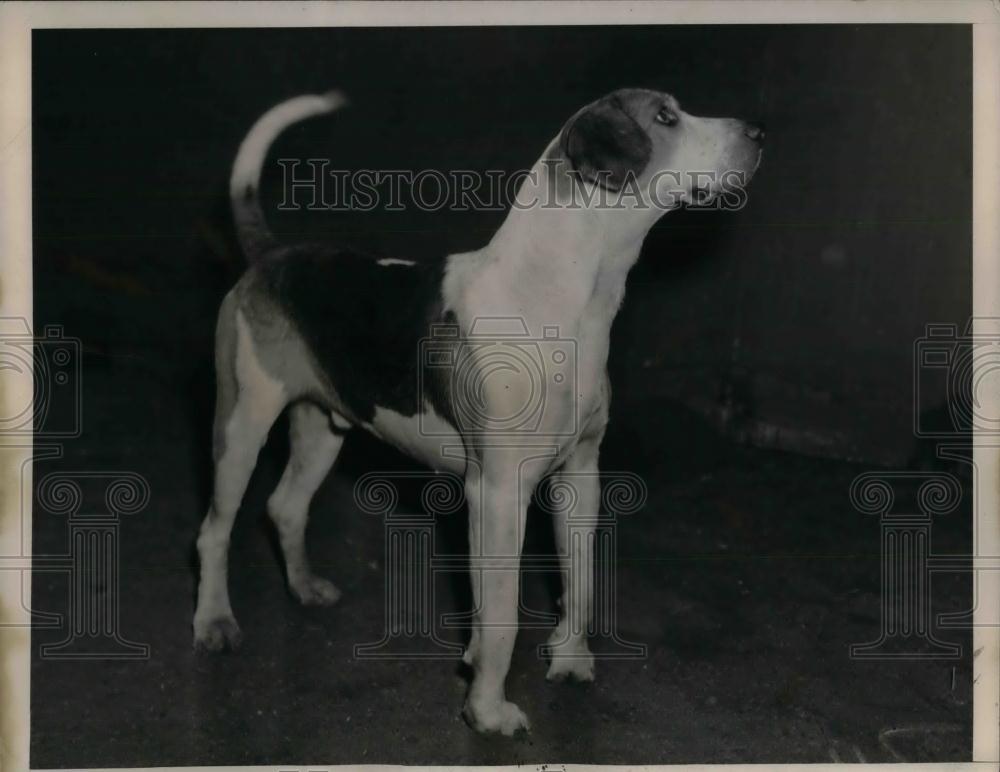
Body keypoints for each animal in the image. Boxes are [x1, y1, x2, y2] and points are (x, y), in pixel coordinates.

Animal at [191, 86, 760, 736]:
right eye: (665, 117)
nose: (759, 134)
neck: (557, 296)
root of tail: (272, 255)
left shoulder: (580, 475)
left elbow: (580, 582)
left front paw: (569, 659)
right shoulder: (498, 493)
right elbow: (502, 615)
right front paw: (487, 711)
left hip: (322, 429)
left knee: (285, 506)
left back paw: (305, 587)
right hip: (241, 427)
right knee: (214, 530)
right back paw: (214, 622)